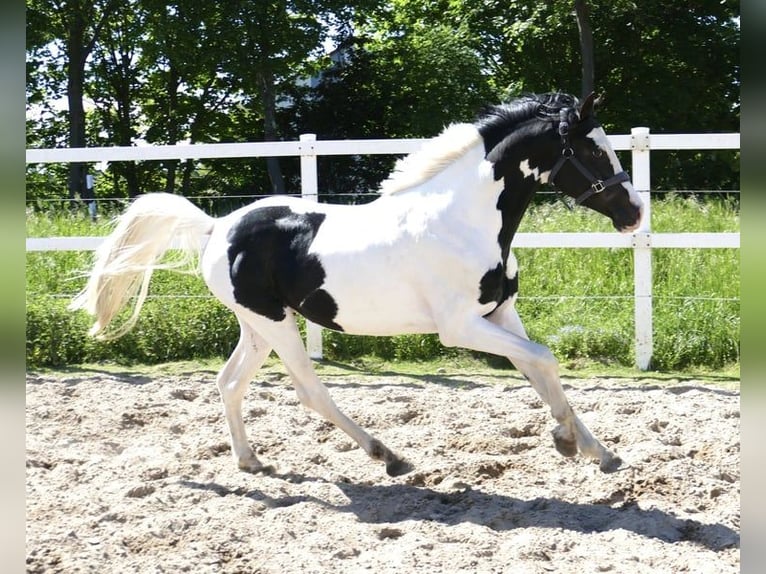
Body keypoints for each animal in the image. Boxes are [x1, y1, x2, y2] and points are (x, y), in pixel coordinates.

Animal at [73, 92, 648, 480]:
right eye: (593, 152)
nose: (635, 213)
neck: (462, 220)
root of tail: (218, 228)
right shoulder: (459, 327)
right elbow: (546, 360)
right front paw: (567, 441)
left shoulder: (500, 314)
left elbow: (539, 370)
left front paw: (595, 450)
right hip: (275, 324)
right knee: (309, 390)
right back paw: (388, 456)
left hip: (258, 326)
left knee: (229, 382)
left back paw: (251, 461)